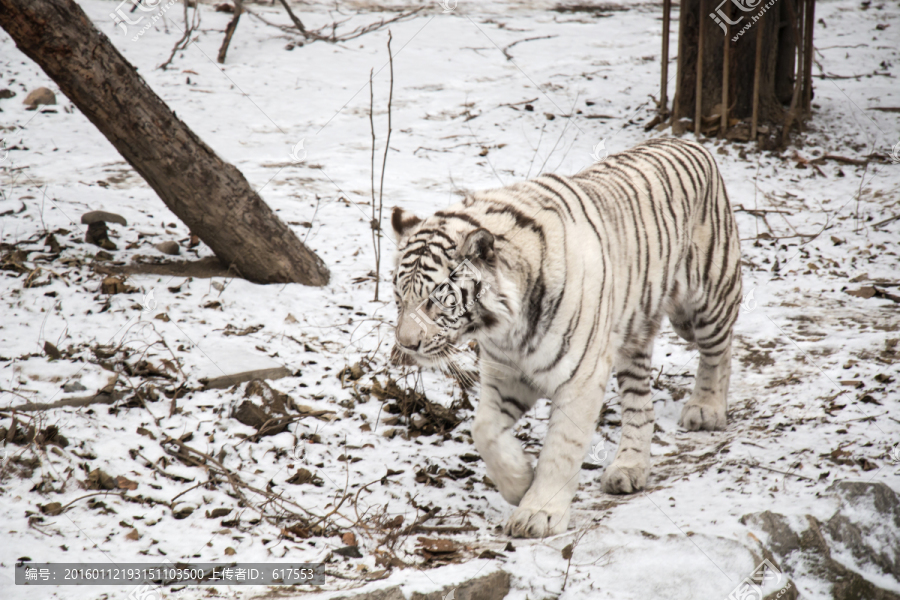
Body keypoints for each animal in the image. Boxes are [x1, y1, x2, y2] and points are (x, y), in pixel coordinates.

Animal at [390, 137, 740, 540]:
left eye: (433, 301)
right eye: (399, 299)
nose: (406, 344)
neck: (504, 329)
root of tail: (687, 141)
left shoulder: (580, 376)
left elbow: (561, 449)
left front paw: (537, 514)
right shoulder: (506, 374)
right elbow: (484, 431)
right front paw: (519, 483)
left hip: (708, 298)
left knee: (718, 351)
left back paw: (707, 408)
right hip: (632, 338)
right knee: (640, 406)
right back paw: (628, 468)